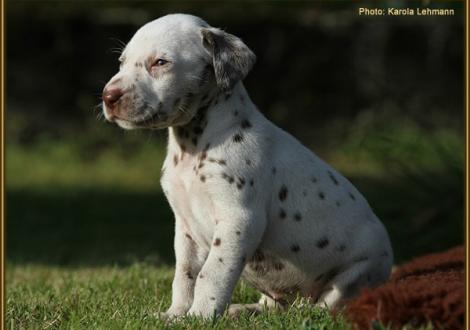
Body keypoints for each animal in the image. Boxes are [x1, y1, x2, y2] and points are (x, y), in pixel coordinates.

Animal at [103, 13, 392, 320]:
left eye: (160, 62)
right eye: (121, 62)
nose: (108, 96)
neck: (193, 147)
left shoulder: (238, 220)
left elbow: (211, 274)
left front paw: (200, 316)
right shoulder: (185, 228)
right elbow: (185, 275)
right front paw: (175, 315)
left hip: (356, 273)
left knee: (327, 307)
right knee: (274, 306)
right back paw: (243, 310)